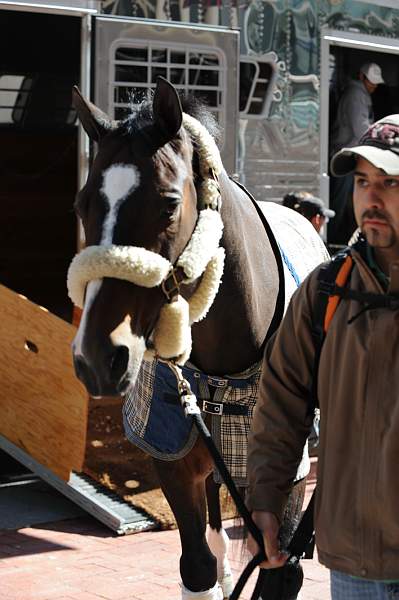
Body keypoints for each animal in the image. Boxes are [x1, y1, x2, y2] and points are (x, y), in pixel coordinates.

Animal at [69, 77, 330, 596]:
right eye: (83, 205)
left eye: (170, 204)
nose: (98, 356)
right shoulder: (172, 456)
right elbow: (197, 565)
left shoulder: (291, 476)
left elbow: (281, 571)